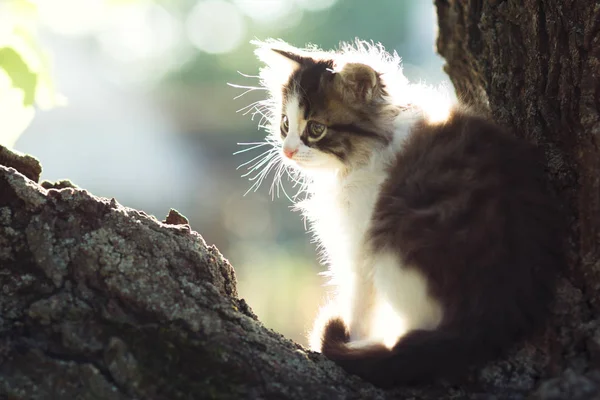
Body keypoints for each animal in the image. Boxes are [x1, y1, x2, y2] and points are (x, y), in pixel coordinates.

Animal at [240, 39, 564, 388]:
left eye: (315, 129)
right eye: (285, 124)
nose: (287, 151)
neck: (365, 154)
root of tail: (489, 311)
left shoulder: (361, 244)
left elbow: (359, 302)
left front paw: (352, 338)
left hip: (396, 252)